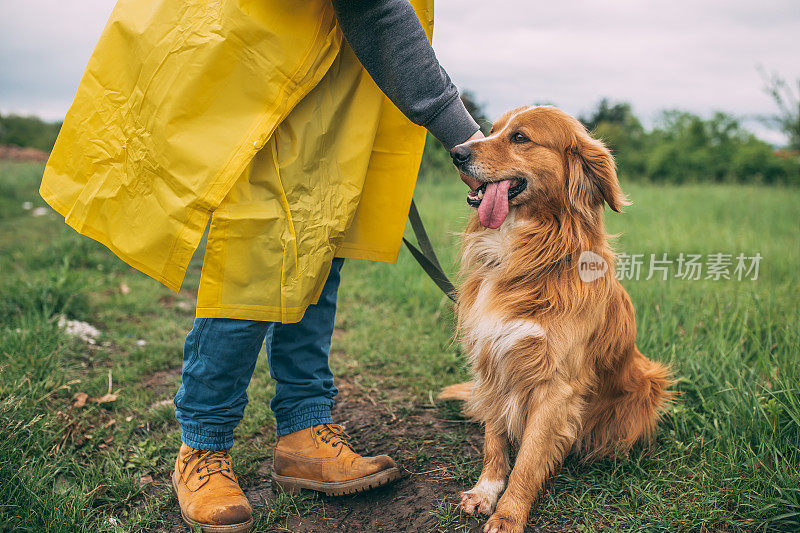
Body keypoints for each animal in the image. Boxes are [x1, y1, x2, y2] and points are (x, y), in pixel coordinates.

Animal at [440, 105, 672, 532]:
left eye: (520, 137)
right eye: (492, 130)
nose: (457, 152)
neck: (527, 253)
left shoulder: (556, 385)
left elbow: (530, 458)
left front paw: (509, 515)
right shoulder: (491, 361)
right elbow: (495, 441)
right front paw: (486, 491)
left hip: (647, 383)